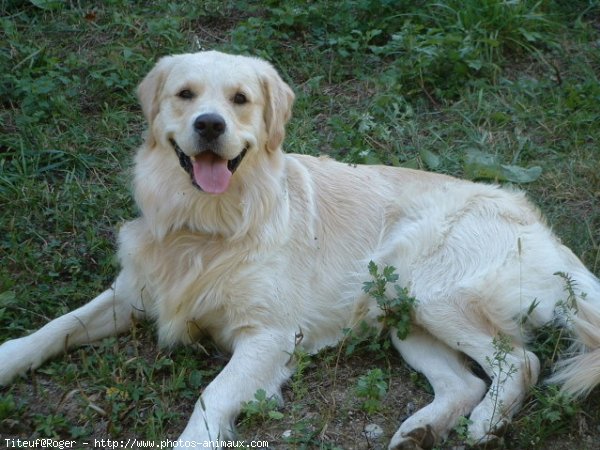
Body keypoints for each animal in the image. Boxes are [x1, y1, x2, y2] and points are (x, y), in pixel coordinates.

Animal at [1, 51, 600, 448]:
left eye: (240, 100)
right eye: (185, 95)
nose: (210, 124)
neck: (207, 225)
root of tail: (545, 230)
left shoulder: (267, 335)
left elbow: (212, 395)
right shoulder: (132, 294)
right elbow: (58, 326)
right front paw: (9, 357)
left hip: (429, 289)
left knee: (520, 360)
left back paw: (484, 424)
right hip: (402, 313)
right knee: (464, 381)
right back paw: (419, 430)